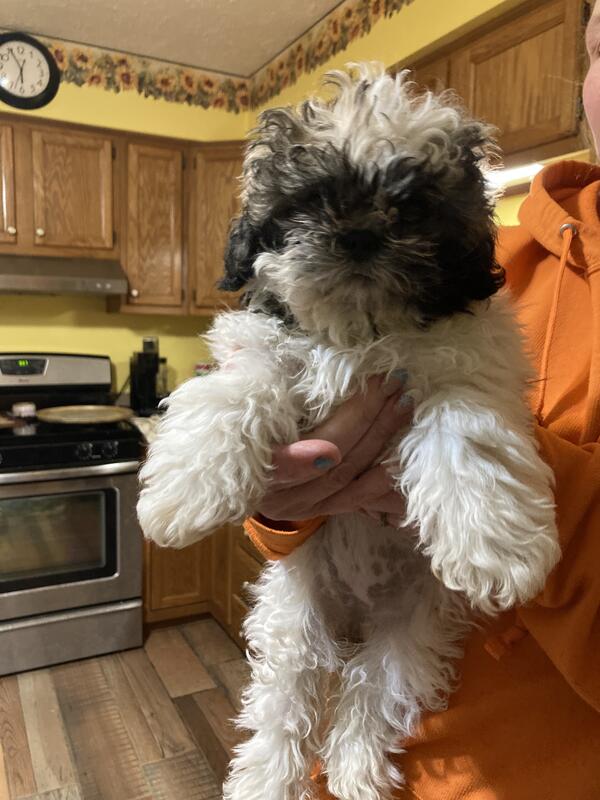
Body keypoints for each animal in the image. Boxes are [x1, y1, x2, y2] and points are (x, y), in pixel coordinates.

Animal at [137, 64, 560, 800]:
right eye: (310, 199)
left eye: (410, 206)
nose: (359, 233)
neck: (359, 332)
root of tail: (357, 621)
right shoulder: (262, 348)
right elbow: (240, 387)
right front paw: (185, 489)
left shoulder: (468, 371)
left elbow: (464, 434)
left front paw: (495, 547)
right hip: (293, 620)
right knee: (285, 706)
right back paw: (267, 782)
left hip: (414, 628)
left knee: (373, 692)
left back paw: (357, 768)